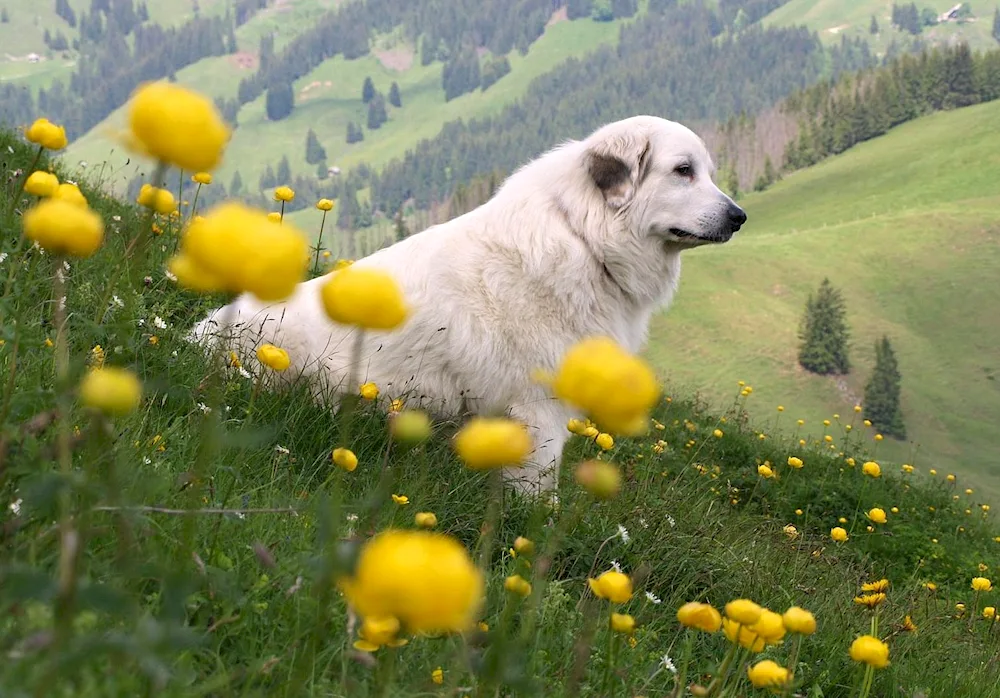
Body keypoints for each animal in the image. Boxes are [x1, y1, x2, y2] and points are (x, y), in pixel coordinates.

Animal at [191, 115, 748, 494]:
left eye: (707, 171)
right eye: (682, 171)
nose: (739, 216)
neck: (586, 238)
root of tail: (195, 337)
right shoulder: (537, 406)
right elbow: (539, 486)